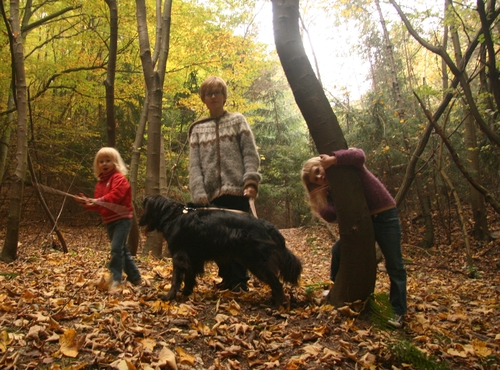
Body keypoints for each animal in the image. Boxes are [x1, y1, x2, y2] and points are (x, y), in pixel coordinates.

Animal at [138, 195, 300, 308]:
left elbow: (176, 279)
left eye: (144, 207)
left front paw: (169, 296)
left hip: (257, 262)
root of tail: (267, 225)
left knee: (277, 283)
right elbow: (189, 278)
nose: (138, 222)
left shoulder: (180, 256)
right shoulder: (193, 258)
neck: (174, 215)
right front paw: (186, 293)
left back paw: (278, 304)